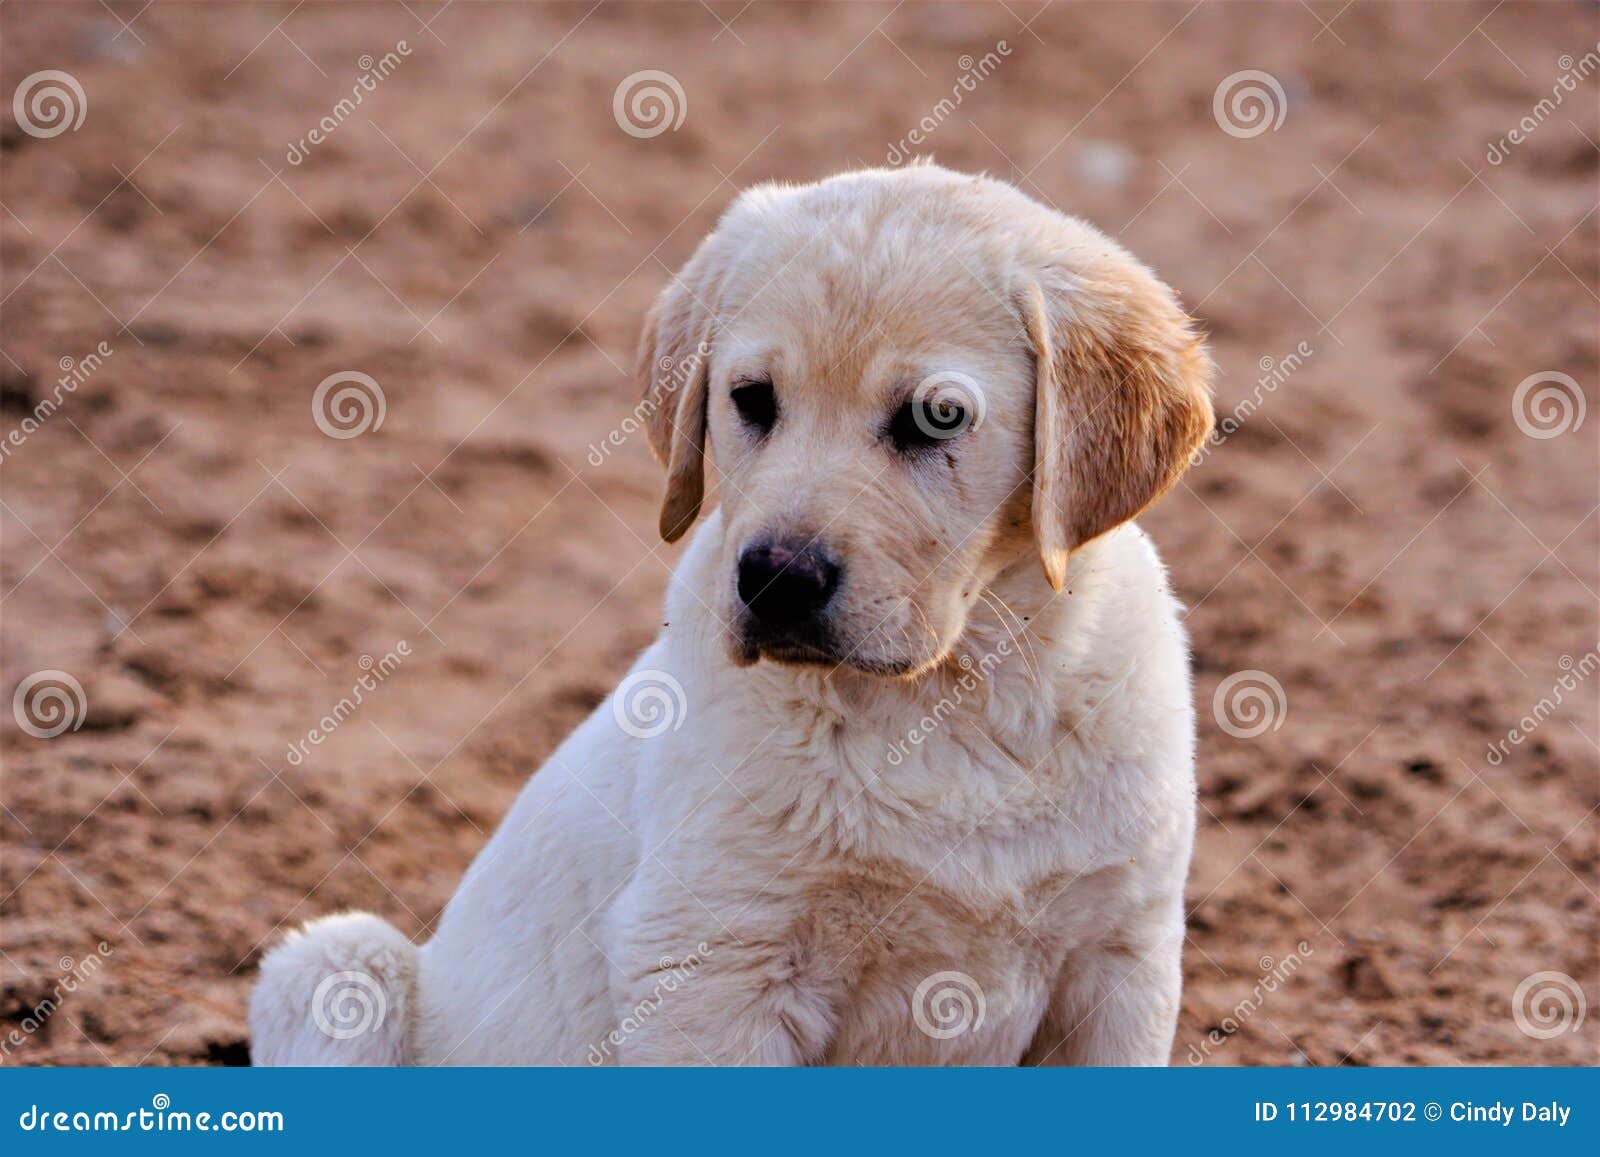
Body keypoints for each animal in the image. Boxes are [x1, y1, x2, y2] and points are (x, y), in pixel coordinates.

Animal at [249, 163, 1209, 1068]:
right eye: (751, 399)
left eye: (939, 417)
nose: (776, 579)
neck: (953, 698)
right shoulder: (711, 964)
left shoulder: (1123, 960)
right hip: (335, 962)